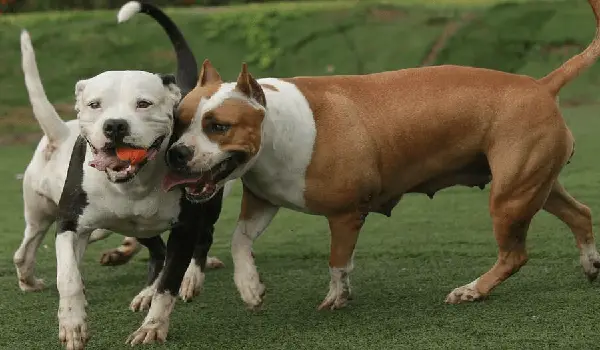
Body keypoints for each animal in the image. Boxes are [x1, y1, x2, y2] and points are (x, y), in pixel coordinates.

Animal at [14, 21, 230, 350]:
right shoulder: (70, 223)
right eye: (94, 105)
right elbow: (68, 276)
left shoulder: (184, 227)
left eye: (143, 103)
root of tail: (58, 133)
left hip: (205, 199)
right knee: (155, 252)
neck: (132, 184)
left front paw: (154, 326)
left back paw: (190, 277)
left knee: (200, 240)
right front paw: (72, 323)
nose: (115, 125)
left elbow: (169, 283)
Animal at [162, 0, 600, 308]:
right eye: (178, 121)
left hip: (510, 197)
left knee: (515, 255)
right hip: (534, 185)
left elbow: (338, 261)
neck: (274, 128)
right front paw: (250, 287)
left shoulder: (344, 215)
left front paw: (336, 298)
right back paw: (590, 264)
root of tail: (541, 85)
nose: (177, 154)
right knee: (579, 213)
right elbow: (239, 240)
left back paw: (473, 290)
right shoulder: (263, 200)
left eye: (218, 126)